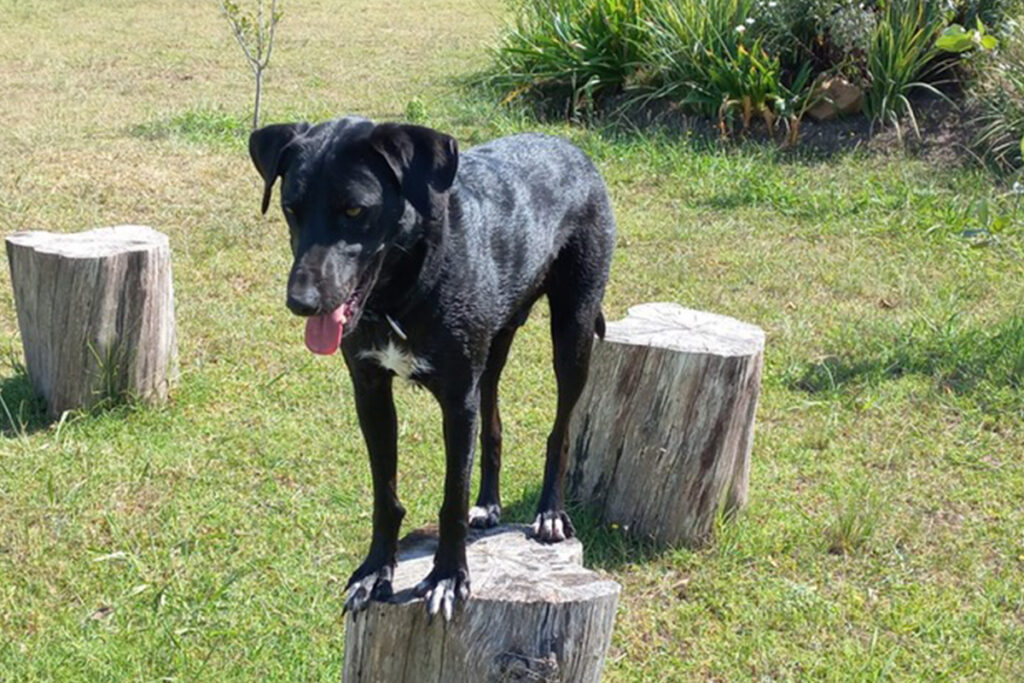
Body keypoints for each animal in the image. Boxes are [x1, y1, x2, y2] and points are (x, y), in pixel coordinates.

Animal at [247, 117, 614, 618]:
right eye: (290, 208)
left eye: (355, 210)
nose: (300, 302)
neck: (402, 289)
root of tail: (570, 147)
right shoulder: (371, 392)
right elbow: (385, 494)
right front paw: (374, 571)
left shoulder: (457, 401)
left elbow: (451, 498)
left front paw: (447, 577)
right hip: (492, 352)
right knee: (493, 425)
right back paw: (488, 505)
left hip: (573, 334)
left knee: (560, 432)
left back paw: (550, 513)